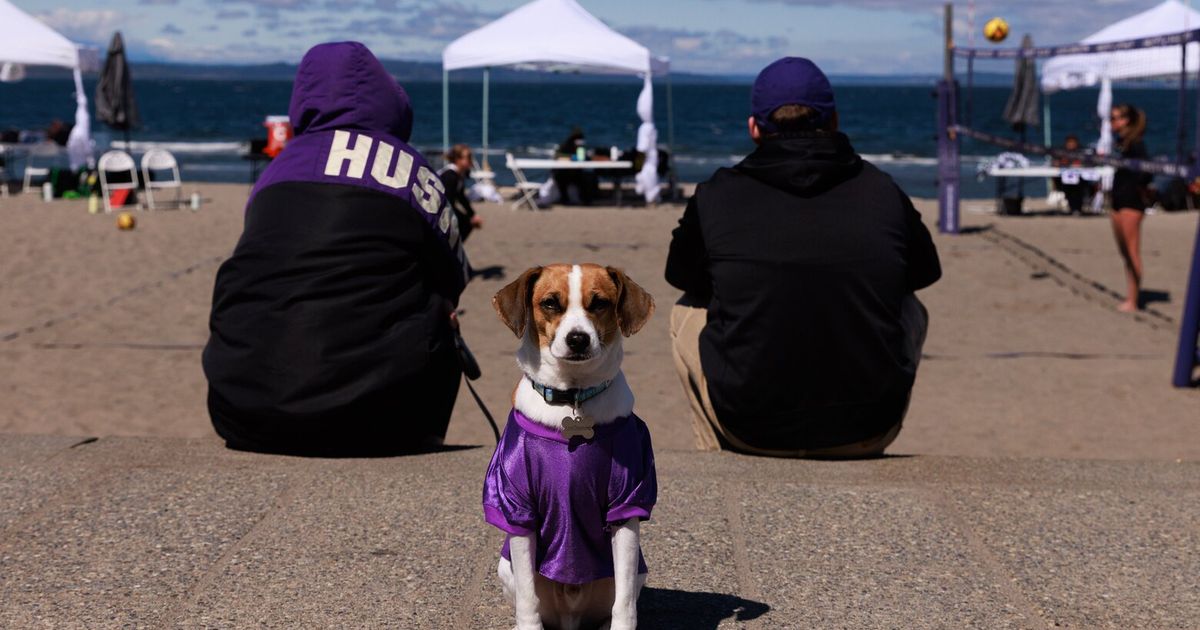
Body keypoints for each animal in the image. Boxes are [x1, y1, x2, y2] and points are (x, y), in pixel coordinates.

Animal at [482, 262, 662, 624]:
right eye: (551, 303)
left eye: (600, 303)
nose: (577, 338)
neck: (573, 399)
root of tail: (571, 615)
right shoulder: (516, 505)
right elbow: (528, 599)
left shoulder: (627, 502)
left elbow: (624, 603)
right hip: (505, 567)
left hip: (638, 572)